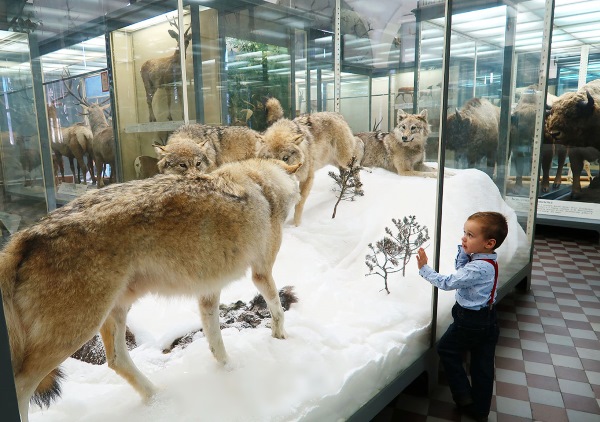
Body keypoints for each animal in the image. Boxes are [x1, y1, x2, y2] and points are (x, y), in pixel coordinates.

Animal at [0, 157, 300, 420]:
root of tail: (25, 236)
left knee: (117, 361)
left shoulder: (208, 291)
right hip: (76, 332)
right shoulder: (261, 273)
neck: (261, 182)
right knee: (21, 388)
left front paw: (230, 370)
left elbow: (215, 341)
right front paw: (281, 338)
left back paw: (157, 398)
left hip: (115, 311)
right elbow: (277, 309)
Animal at [256, 97, 360, 226]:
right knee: (344, 171)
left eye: (285, 158)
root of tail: (337, 114)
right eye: (269, 158)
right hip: (333, 162)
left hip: (344, 159)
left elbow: (299, 204)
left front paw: (296, 225)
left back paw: (359, 190)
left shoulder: (307, 177)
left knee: (356, 166)